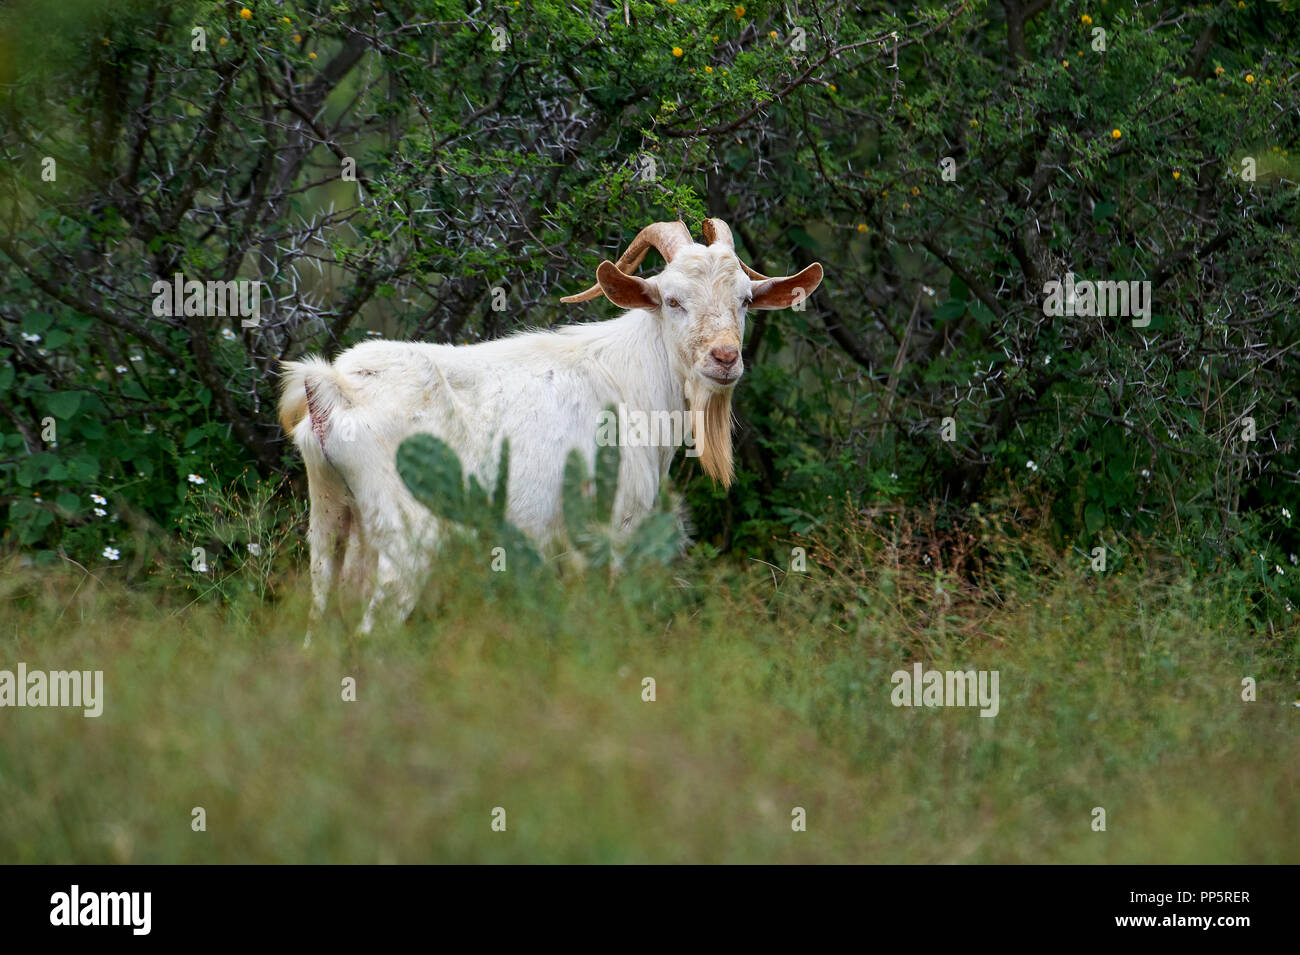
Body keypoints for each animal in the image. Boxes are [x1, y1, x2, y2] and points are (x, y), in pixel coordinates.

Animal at [278, 219, 821, 639]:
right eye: (671, 300)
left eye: (745, 300)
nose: (724, 358)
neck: (630, 380)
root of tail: (332, 386)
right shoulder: (612, 530)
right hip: (406, 535)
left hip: (330, 519)